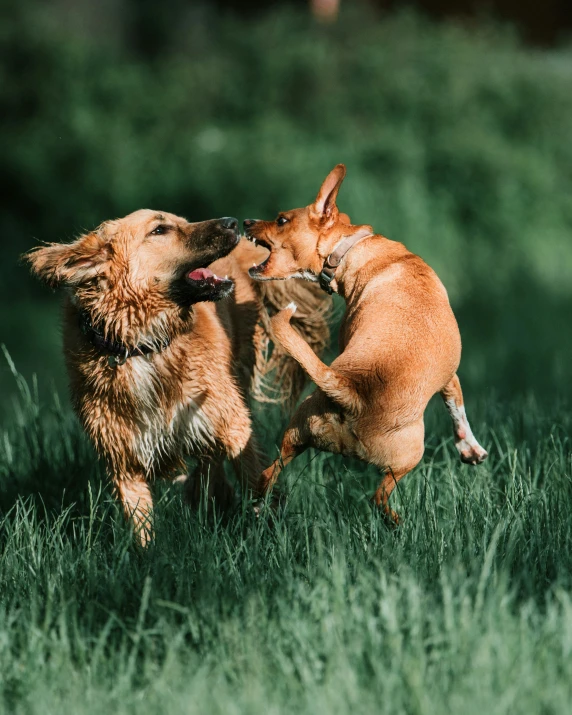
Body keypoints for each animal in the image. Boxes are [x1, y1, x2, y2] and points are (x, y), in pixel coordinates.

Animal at [25, 210, 330, 544]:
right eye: (160, 230)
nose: (233, 222)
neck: (143, 346)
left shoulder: (234, 425)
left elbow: (256, 482)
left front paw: (269, 533)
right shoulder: (124, 462)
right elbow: (142, 531)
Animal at [242, 164, 488, 520]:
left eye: (281, 220)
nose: (245, 222)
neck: (350, 249)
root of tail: (349, 391)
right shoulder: (450, 378)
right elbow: (458, 409)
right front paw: (471, 450)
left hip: (295, 435)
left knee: (267, 474)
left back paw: (260, 511)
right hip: (410, 455)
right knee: (379, 498)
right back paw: (397, 522)